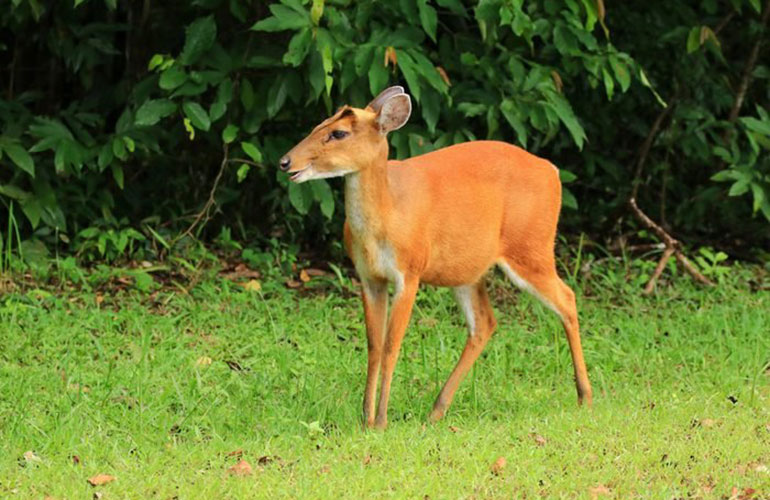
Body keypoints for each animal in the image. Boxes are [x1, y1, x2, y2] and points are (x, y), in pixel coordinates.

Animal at [279, 86, 592, 430]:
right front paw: (366, 418)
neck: (387, 215)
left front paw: (381, 420)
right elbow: (374, 345)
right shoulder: (368, 276)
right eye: (317, 125)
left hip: (531, 246)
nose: (285, 161)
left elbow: (391, 345)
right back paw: (436, 410)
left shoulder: (410, 270)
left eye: (338, 133)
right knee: (485, 323)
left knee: (567, 298)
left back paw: (585, 396)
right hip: (468, 269)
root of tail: (553, 172)